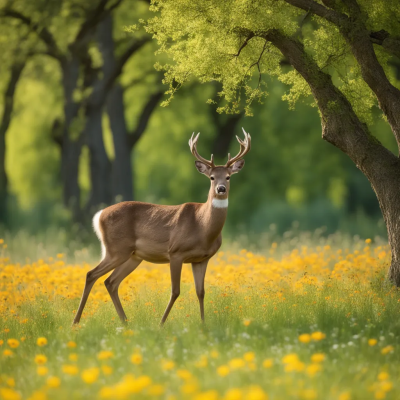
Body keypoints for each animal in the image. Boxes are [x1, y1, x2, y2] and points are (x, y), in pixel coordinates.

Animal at [72, 128, 250, 324]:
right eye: (211, 177)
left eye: (228, 177)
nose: (221, 189)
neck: (203, 228)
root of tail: (99, 215)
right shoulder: (176, 252)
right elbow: (175, 291)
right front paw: (161, 324)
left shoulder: (202, 259)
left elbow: (201, 292)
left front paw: (203, 325)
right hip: (116, 249)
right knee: (92, 274)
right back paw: (76, 322)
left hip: (133, 256)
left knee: (110, 282)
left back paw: (125, 322)